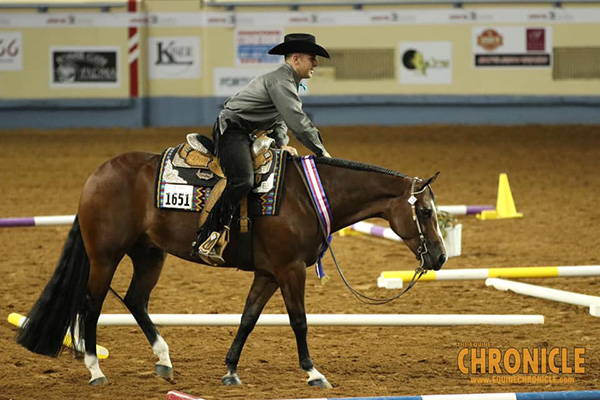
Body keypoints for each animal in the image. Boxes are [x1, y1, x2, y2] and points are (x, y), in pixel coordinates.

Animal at [16, 147, 446, 388]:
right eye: (424, 212)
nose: (440, 257)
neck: (306, 196)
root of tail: (96, 176)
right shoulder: (290, 270)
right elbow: (299, 321)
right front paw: (313, 373)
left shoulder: (268, 274)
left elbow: (248, 318)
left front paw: (231, 370)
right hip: (105, 257)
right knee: (90, 307)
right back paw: (95, 369)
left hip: (149, 255)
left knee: (136, 300)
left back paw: (164, 360)